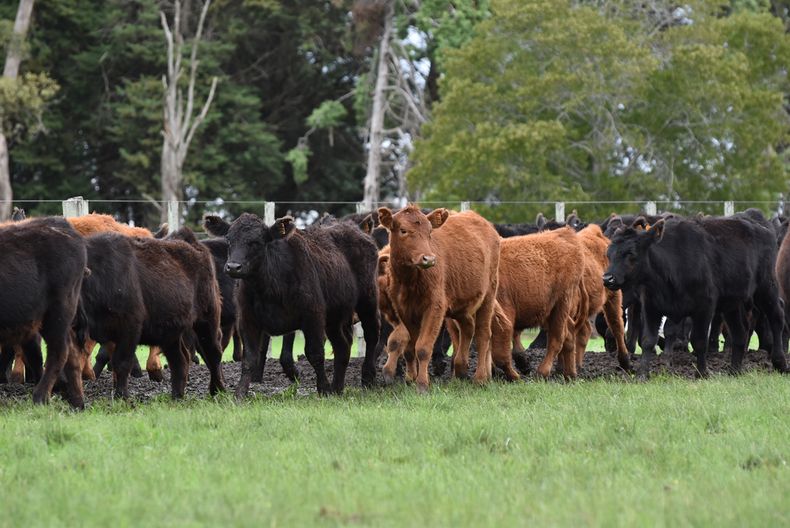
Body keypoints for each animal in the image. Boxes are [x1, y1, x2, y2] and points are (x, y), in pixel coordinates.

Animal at [79, 228, 226, 399]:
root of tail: (195, 245)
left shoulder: (130, 328)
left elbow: (122, 362)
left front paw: (122, 396)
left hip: (207, 321)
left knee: (214, 353)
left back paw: (217, 390)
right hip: (171, 333)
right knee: (180, 360)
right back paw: (177, 396)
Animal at [211, 213, 380, 396]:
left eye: (257, 242)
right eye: (229, 239)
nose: (233, 267)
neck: (266, 288)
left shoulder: (313, 315)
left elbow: (315, 353)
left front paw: (323, 389)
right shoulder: (247, 320)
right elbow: (249, 358)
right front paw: (240, 394)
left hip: (368, 300)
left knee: (371, 335)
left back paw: (368, 377)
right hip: (335, 316)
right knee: (342, 346)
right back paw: (337, 387)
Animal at [377, 206, 499, 392]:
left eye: (429, 232)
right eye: (403, 230)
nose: (428, 259)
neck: (410, 280)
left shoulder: (435, 308)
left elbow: (423, 347)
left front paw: (422, 384)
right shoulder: (405, 312)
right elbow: (411, 346)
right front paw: (412, 379)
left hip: (488, 296)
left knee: (483, 334)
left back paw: (480, 378)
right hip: (461, 305)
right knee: (467, 328)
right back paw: (460, 369)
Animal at [604, 216, 788, 378]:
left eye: (631, 253)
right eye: (609, 254)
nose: (607, 278)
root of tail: (763, 228)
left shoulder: (705, 306)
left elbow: (699, 341)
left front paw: (702, 373)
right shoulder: (651, 306)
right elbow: (648, 340)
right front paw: (641, 375)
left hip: (766, 287)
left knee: (777, 315)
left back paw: (780, 362)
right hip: (732, 304)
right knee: (739, 333)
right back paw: (734, 370)